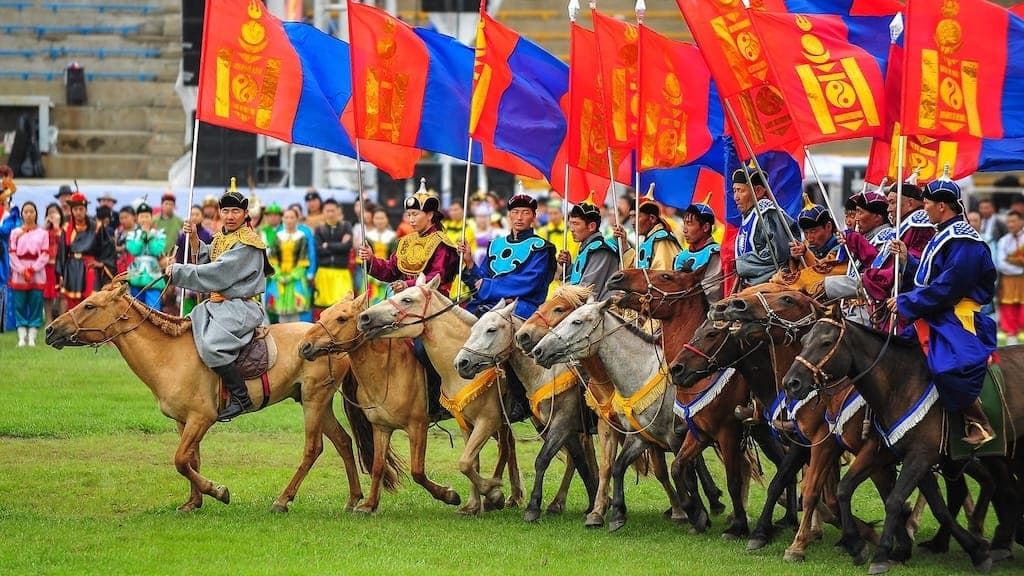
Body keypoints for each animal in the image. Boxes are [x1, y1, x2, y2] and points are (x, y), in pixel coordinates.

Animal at [44, 272, 387, 510]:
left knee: (313, 449)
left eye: (89, 305)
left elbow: (181, 460)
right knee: (343, 442)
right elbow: (191, 459)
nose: (49, 330)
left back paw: (283, 500)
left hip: (314, 400)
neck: (169, 355)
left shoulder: (201, 418)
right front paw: (193, 502)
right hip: (315, 401)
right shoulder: (183, 422)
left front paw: (218, 491)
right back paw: (353, 499)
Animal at [296, 291, 460, 510]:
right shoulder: (380, 427)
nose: (305, 346)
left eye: (341, 318)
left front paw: (449, 495)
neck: (388, 369)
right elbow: (378, 465)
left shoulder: (418, 426)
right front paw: (369, 505)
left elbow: (417, 471)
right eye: (322, 314)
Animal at [456, 297, 598, 522]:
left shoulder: (562, 423)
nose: (462, 363)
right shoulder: (567, 430)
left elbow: (543, 459)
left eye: (491, 330)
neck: (546, 374)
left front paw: (532, 507)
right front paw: (592, 504)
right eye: (473, 329)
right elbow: (581, 463)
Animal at [606, 266, 790, 537]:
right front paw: (698, 512)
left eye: (666, 276)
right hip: (763, 432)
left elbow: (727, 479)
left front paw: (726, 520)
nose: (617, 277)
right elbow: (680, 468)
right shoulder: (695, 432)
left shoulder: (725, 432)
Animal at [782, 313, 1024, 573]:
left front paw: (881, 554)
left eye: (826, 342)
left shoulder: (918, 456)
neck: (899, 385)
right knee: (1003, 488)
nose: (791, 383)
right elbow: (846, 490)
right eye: (804, 339)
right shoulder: (892, 454)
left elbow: (894, 499)